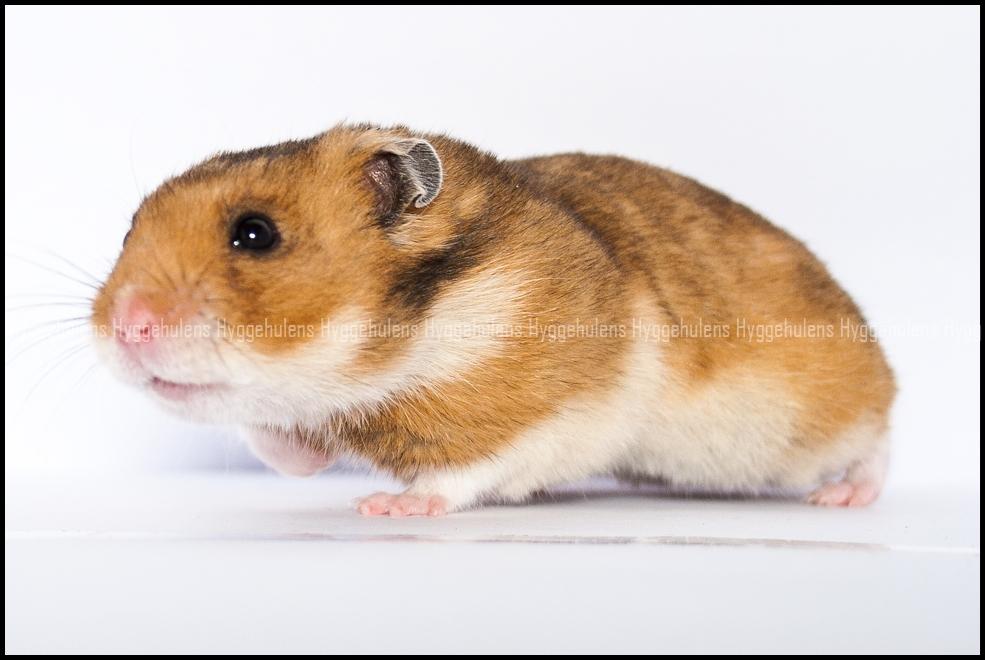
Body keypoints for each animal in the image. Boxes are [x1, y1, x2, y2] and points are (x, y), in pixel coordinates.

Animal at [91, 124, 896, 516]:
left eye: (255, 234)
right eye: (129, 226)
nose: (126, 329)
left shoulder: (546, 414)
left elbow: (466, 470)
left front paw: (383, 508)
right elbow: (278, 443)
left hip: (830, 417)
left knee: (877, 443)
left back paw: (840, 498)